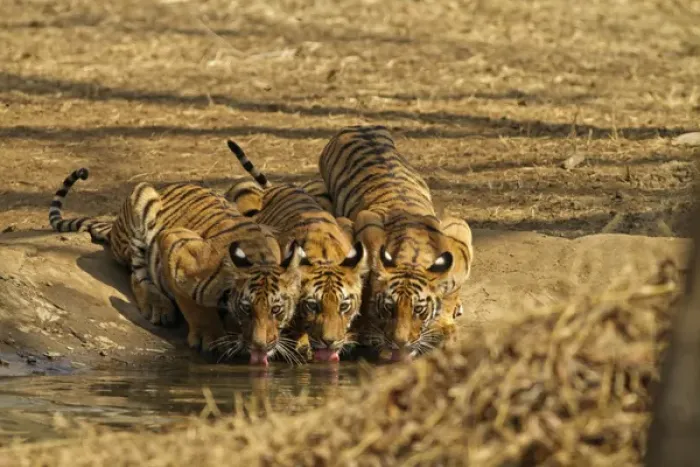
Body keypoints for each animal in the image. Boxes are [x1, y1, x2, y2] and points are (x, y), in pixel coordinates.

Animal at [48, 167, 305, 366]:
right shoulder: (175, 244)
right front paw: (209, 336)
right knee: (137, 274)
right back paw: (157, 305)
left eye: (276, 310)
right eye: (247, 309)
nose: (260, 346)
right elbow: (191, 304)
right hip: (142, 198)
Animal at [223, 139, 369, 362]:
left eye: (344, 306)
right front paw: (301, 345)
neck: (324, 256)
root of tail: (278, 187)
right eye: (312, 306)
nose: (330, 342)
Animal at [318, 125, 474, 361]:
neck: (413, 256)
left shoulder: (459, 232)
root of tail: (359, 126)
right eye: (389, 308)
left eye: (418, 310)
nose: (401, 343)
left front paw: (444, 326)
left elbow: (451, 292)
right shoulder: (365, 225)